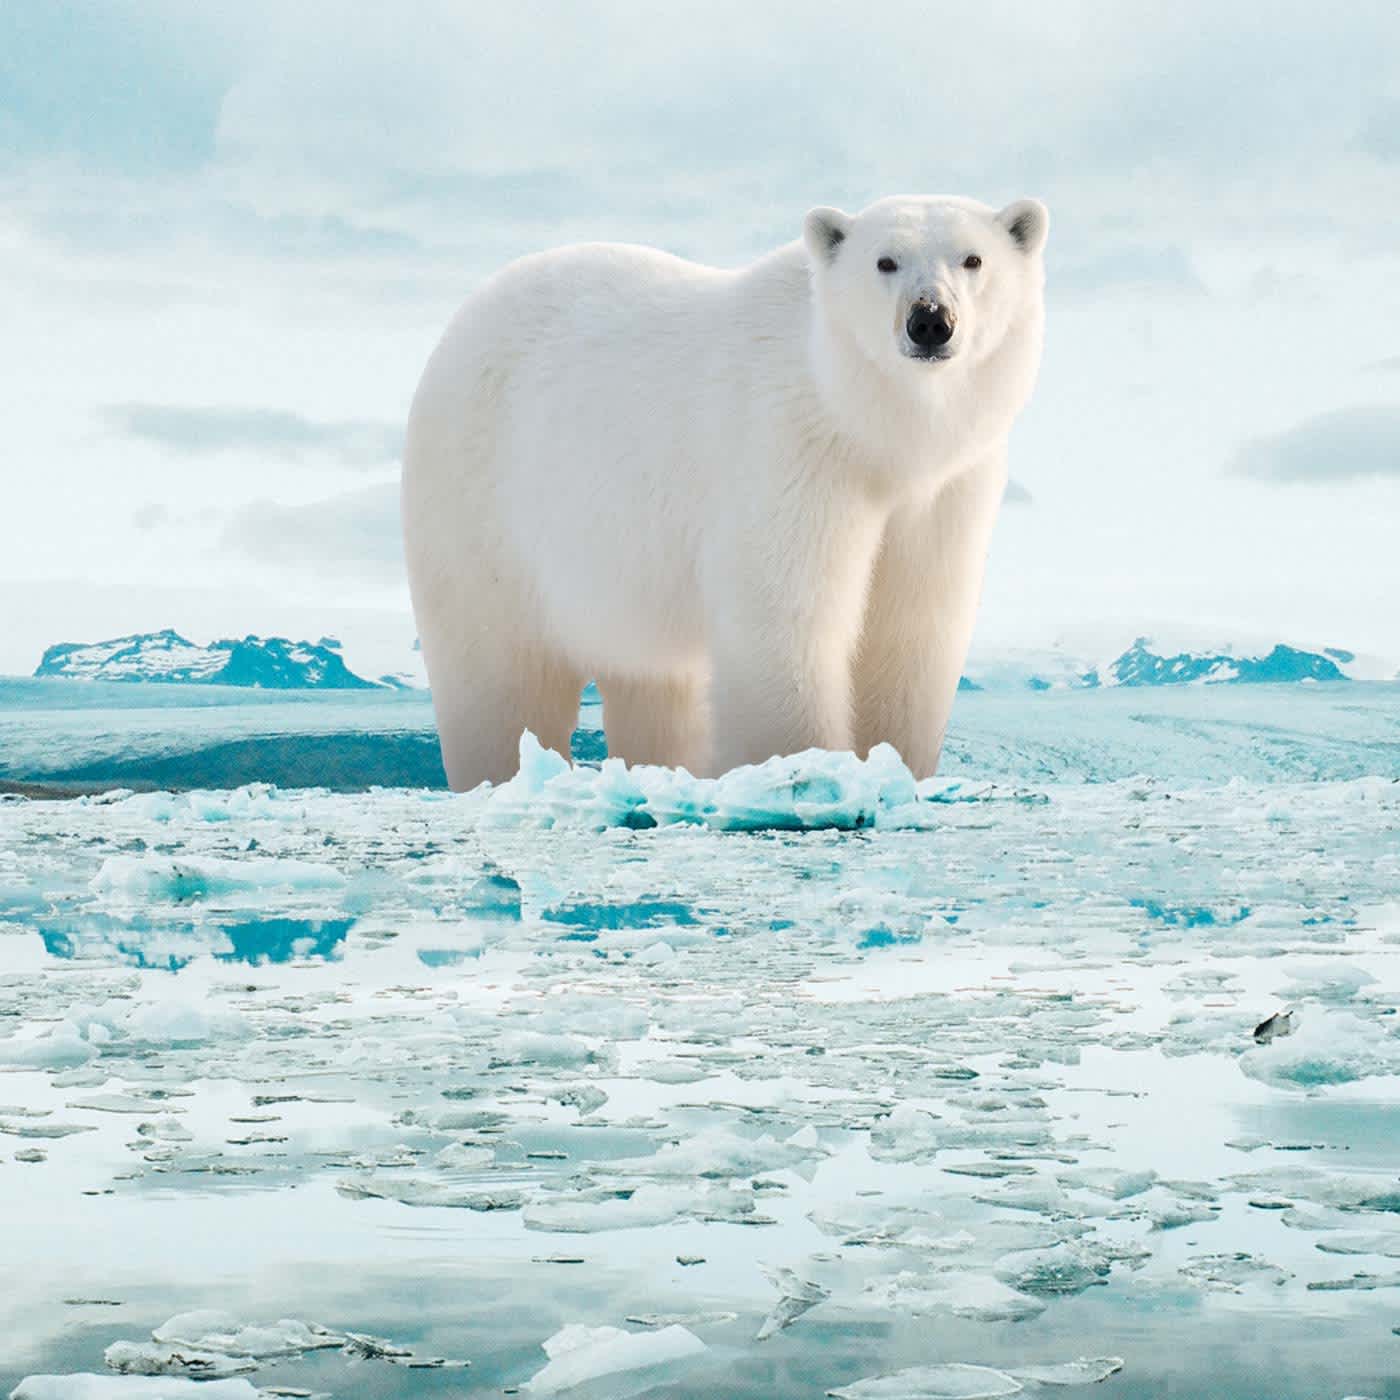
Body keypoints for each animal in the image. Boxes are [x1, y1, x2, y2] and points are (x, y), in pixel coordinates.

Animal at [400, 191, 1047, 795]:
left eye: (973, 259)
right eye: (885, 261)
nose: (930, 320)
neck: (866, 426)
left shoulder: (944, 489)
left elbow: (912, 628)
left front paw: (896, 769)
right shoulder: (788, 453)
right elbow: (786, 621)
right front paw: (803, 772)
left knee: (654, 687)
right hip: (484, 510)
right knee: (500, 678)